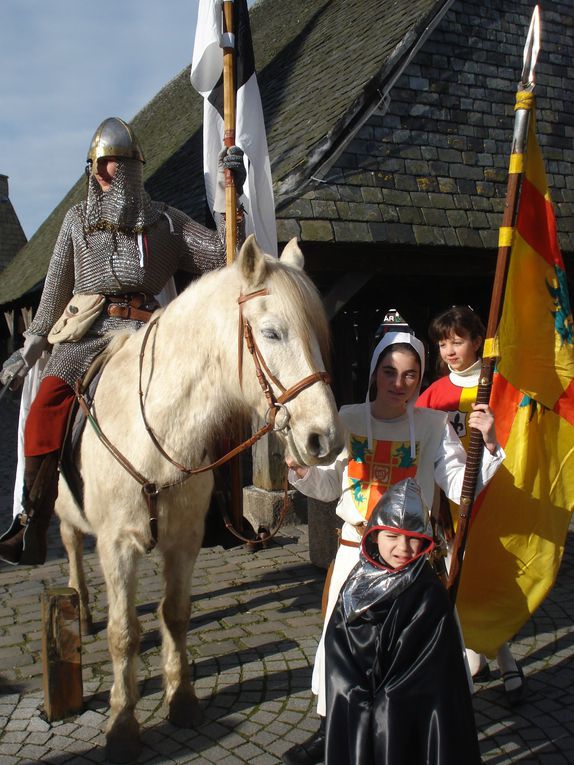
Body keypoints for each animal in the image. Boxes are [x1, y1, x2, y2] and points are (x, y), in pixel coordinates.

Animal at [56, 236, 344, 760]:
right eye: (271, 333)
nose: (324, 438)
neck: (154, 429)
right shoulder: (117, 545)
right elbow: (123, 633)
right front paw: (122, 724)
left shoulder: (184, 541)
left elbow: (175, 614)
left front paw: (182, 699)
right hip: (66, 517)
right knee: (70, 547)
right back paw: (82, 610)